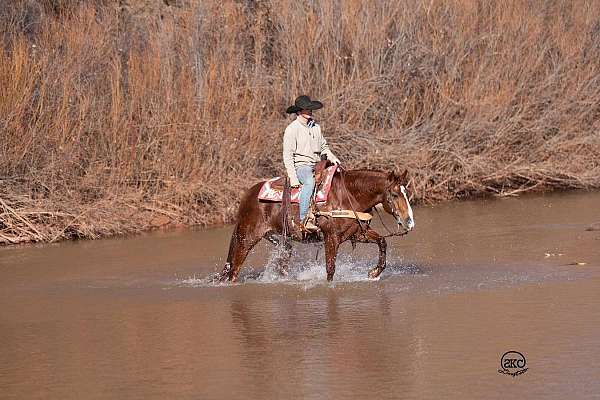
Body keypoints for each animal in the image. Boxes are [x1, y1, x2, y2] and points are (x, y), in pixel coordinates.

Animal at [219, 167, 412, 282]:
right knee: (234, 269)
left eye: (407, 193)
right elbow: (330, 268)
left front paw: (374, 272)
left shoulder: (357, 233)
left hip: (279, 240)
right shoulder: (331, 238)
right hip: (247, 238)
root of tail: (247, 195)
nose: (409, 221)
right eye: (395, 195)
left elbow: (382, 242)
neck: (348, 196)